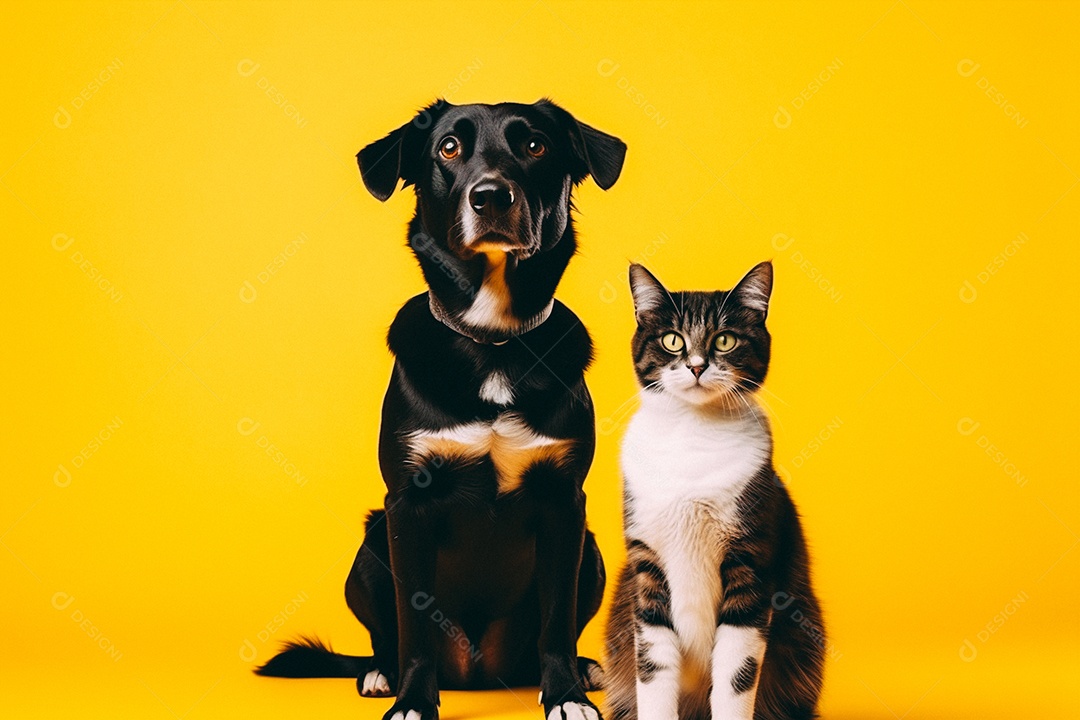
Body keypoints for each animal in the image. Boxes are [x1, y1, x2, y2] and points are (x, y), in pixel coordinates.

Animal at [259, 99, 626, 720]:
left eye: (536, 146)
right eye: (448, 148)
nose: (491, 196)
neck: (493, 338)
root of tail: (478, 670)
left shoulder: (563, 502)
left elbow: (557, 620)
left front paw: (566, 696)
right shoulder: (408, 504)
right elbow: (413, 623)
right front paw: (412, 700)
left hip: (592, 548)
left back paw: (580, 668)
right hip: (371, 542)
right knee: (387, 635)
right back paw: (379, 673)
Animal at [604, 264, 820, 720]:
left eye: (725, 339)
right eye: (672, 340)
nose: (697, 366)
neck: (693, 430)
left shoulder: (751, 560)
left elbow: (737, 672)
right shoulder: (647, 564)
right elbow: (652, 665)